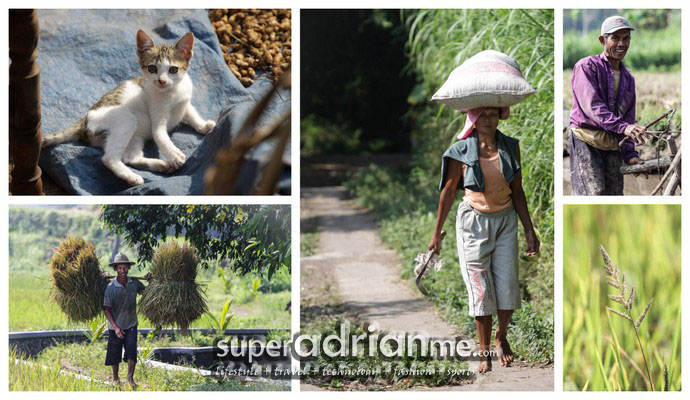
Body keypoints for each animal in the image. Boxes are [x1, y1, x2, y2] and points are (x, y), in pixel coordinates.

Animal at [43, 29, 215, 186]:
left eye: (173, 69)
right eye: (152, 68)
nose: (161, 81)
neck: (173, 92)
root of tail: (83, 120)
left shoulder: (184, 101)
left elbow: (191, 113)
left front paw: (203, 125)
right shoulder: (157, 119)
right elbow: (160, 135)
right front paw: (173, 155)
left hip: (135, 136)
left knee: (130, 157)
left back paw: (160, 165)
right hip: (126, 119)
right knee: (109, 158)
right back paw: (132, 176)